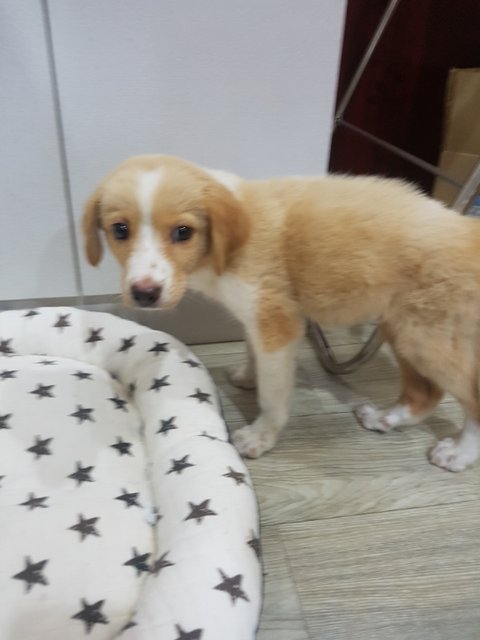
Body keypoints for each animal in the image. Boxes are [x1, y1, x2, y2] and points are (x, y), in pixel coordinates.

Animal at [83, 154, 480, 472]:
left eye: (183, 232)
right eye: (120, 230)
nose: (144, 293)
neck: (224, 250)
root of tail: (469, 230)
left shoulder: (276, 322)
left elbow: (273, 395)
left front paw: (261, 436)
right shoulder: (256, 316)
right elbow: (252, 352)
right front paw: (248, 375)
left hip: (426, 337)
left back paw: (459, 454)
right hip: (402, 326)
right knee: (425, 393)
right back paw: (386, 418)